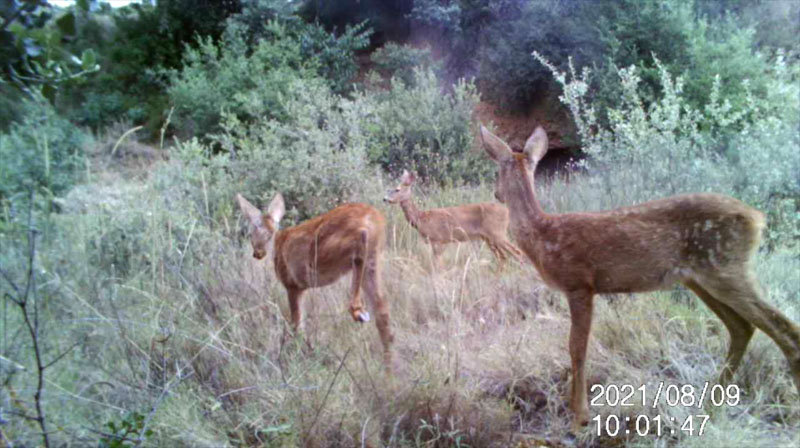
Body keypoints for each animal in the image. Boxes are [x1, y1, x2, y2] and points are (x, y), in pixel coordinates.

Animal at [234, 193, 394, 368]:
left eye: (251, 232)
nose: (257, 253)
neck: (277, 243)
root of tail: (375, 218)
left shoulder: (292, 284)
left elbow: (296, 324)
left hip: (329, 249)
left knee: (359, 244)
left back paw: (358, 311)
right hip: (372, 260)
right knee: (382, 309)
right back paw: (388, 366)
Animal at [382, 171, 524, 270]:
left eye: (397, 189)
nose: (384, 198)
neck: (421, 218)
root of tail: (506, 211)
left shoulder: (438, 239)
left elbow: (438, 265)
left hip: (498, 233)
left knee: (517, 252)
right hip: (489, 238)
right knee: (503, 257)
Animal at [482, 125, 800, 430]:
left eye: (496, 170)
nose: (496, 194)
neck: (543, 236)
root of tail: (757, 218)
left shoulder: (579, 284)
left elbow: (577, 348)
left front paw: (579, 418)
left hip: (726, 267)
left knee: (783, 328)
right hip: (701, 278)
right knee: (741, 328)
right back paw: (710, 405)